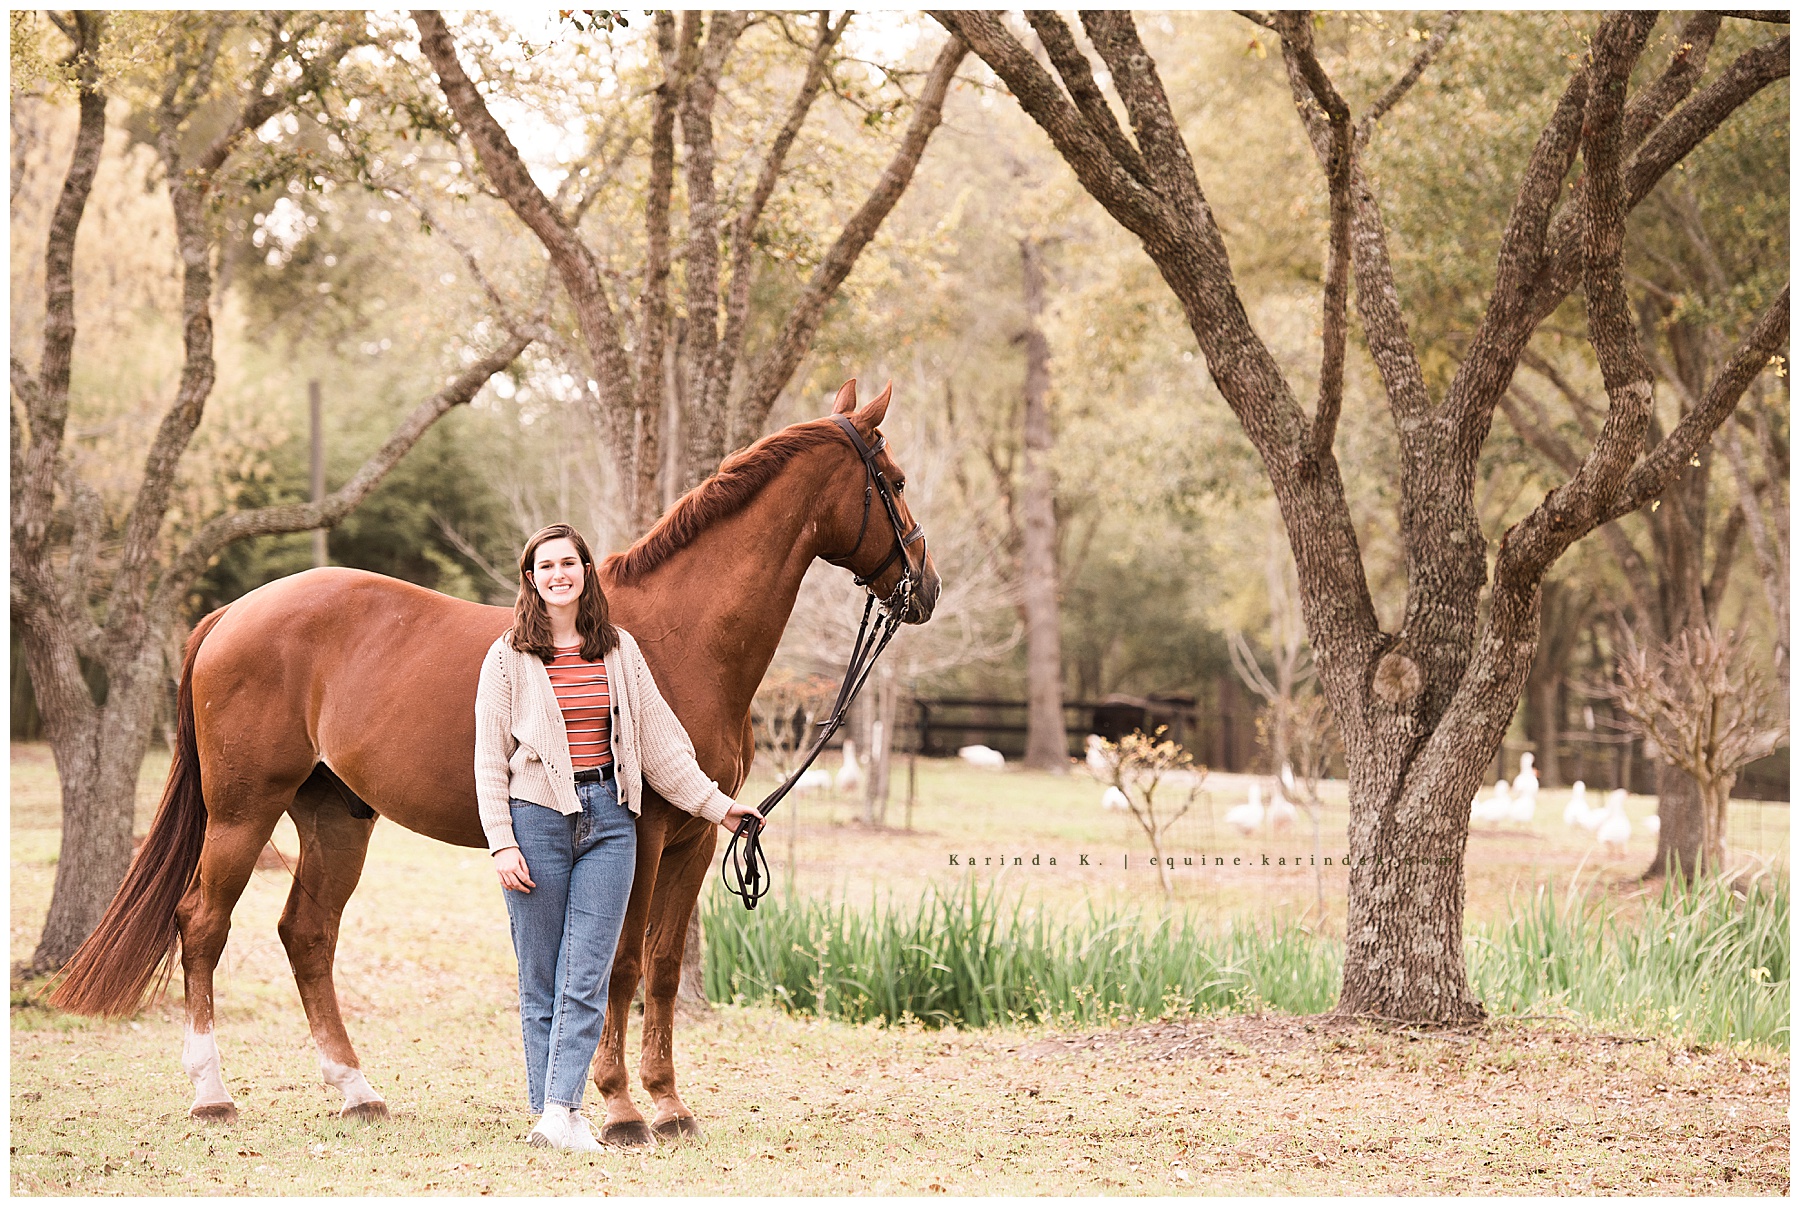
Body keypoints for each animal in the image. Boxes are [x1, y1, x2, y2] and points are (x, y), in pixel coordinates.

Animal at [50, 379, 938, 1145]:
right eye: (893, 480)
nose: (925, 588)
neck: (680, 635)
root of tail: (231, 612)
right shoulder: (646, 834)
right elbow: (618, 965)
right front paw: (621, 1109)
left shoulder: (694, 836)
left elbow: (659, 968)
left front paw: (670, 1104)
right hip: (243, 810)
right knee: (203, 923)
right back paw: (212, 1093)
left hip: (337, 816)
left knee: (307, 932)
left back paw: (357, 1091)